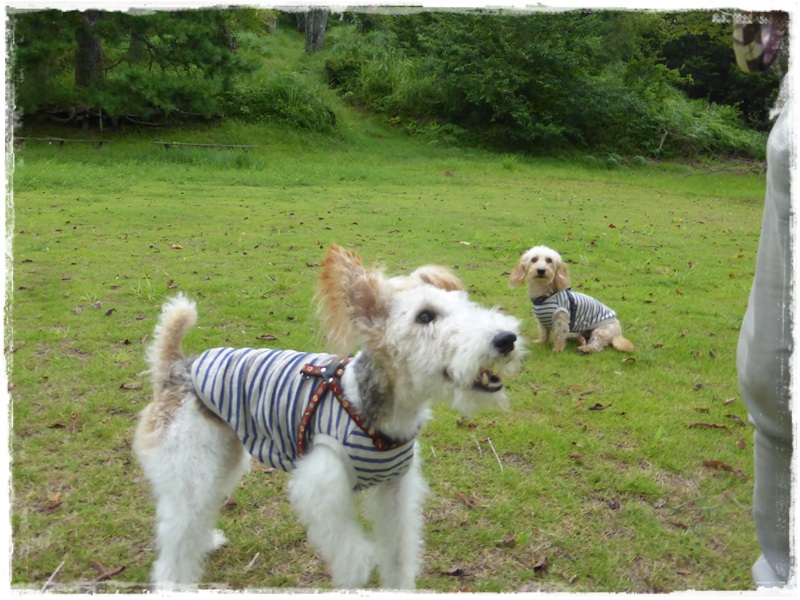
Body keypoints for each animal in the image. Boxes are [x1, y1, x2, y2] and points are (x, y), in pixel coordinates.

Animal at [134, 244, 524, 592]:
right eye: (425, 316)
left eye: (465, 305)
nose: (507, 339)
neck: (376, 414)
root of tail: (177, 367)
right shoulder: (320, 482)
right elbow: (352, 551)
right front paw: (358, 571)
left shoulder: (396, 489)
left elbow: (398, 551)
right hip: (191, 464)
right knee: (177, 534)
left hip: (223, 457)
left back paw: (208, 541)